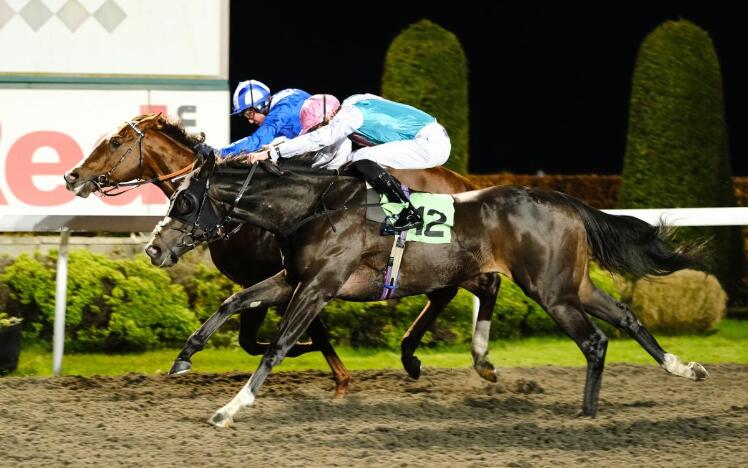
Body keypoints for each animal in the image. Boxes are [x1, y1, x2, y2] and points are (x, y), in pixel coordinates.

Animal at [62, 114, 490, 394]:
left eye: (115, 142)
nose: (72, 176)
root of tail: (463, 181)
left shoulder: (286, 275)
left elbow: (273, 336)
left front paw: (334, 373)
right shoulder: (277, 278)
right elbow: (253, 336)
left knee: (467, 288)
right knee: (448, 292)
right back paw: (413, 356)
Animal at [146, 149, 708, 424]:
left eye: (184, 202)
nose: (154, 248)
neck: (314, 207)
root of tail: (566, 201)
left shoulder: (319, 286)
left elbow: (278, 346)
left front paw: (230, 409)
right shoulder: (293, 278)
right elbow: (232, 301)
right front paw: (183, 358)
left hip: (550, 290)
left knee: (593, 340)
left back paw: (586, 416)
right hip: (570, 284)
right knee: (626, 319)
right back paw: (683, 368)